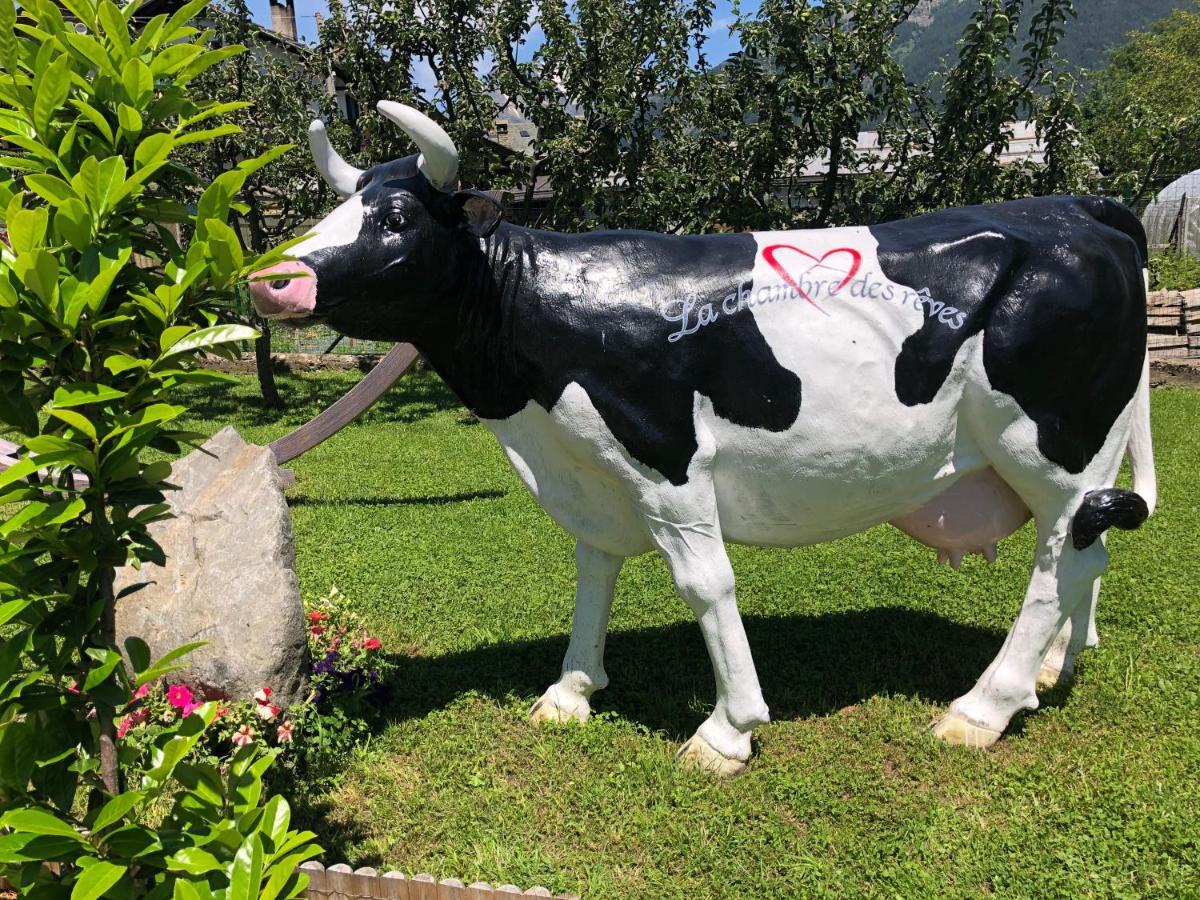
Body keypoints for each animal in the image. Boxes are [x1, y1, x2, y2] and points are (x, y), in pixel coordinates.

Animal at [250, 103, 1152, 777]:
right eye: (332, 207)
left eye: (396, 216)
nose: (270, 279)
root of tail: (1080, 207)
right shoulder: (592, 468)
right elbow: (593, 571)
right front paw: (571, 690)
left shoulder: (668, 458)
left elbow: (706, 585)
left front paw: (729, 729)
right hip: (1084, 455)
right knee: (1092, 552)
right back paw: (1053, 670)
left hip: (1054, 446)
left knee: (1058, 567)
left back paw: (983, 707)